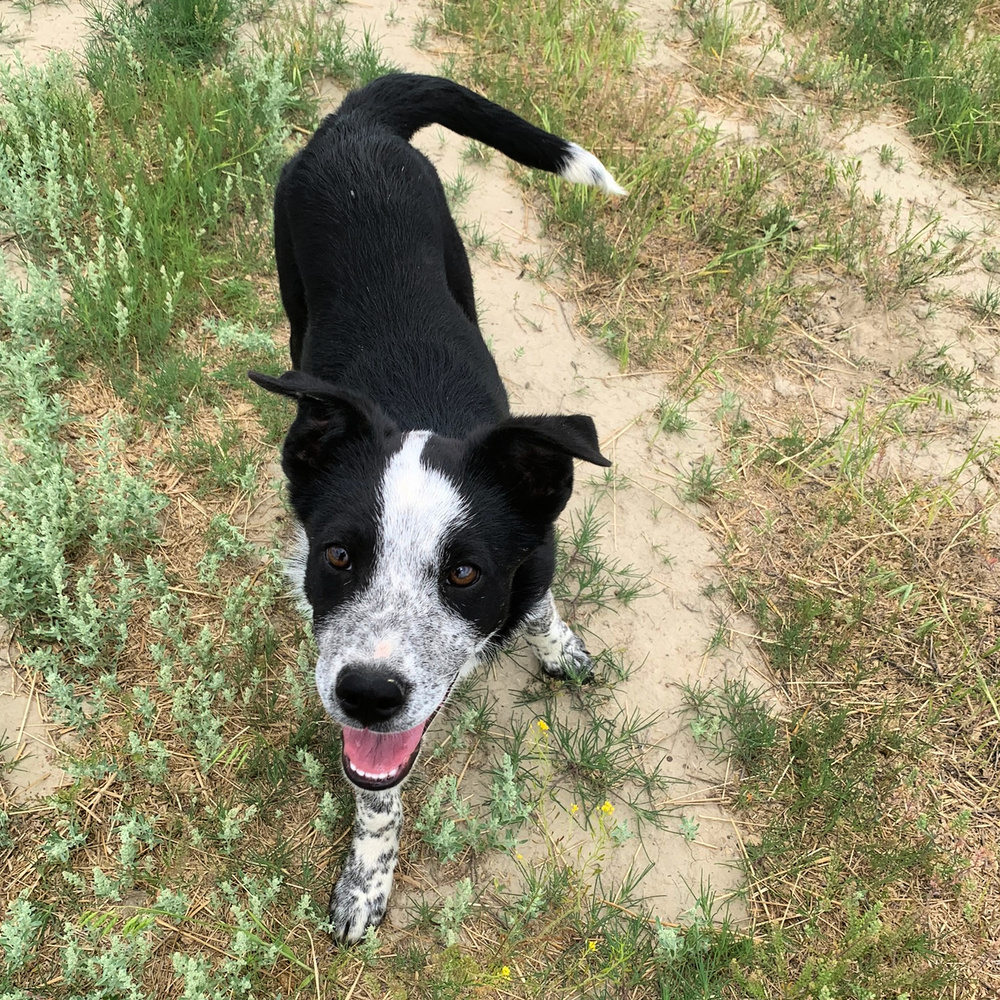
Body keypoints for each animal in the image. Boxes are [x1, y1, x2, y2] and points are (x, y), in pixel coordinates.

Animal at [248, 74, 624, 940]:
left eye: (463, 573)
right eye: (338, 555)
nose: (367, 694)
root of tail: (356, 121)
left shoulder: (535, 562)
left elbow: (541, 606)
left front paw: (560, 648)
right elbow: (377, 799)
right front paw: (366, 883)